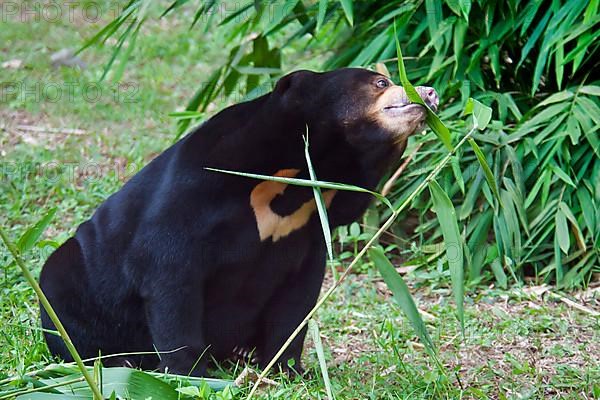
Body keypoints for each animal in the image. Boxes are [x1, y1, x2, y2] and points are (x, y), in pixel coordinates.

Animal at [39, 68, 438, 376]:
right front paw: (189, 373)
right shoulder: (193, 193)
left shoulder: (311, 226)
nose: (430, 93)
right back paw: (118, 362)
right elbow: (168, 276)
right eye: (381, 83)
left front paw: (289, 370)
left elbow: (297, 300)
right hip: (69, 284)